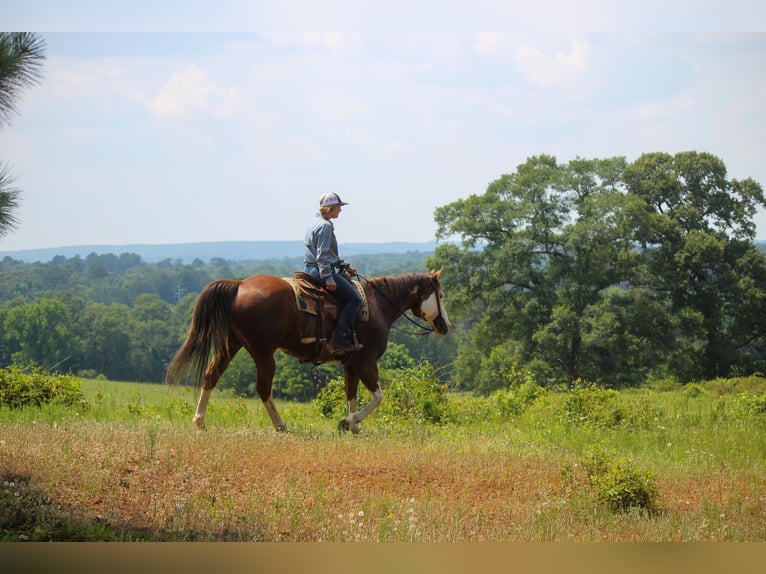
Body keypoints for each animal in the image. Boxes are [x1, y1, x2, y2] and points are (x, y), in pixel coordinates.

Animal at [163, 270, 450, 432]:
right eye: (441, 295)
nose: (445, 325)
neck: (379, 305)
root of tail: (239, 285)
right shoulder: (366, 361)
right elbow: (378, 397)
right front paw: (349, 422)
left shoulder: (351, 364)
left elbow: (352, 395)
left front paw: (352, 425)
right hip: (263, 352)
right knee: (263, 389)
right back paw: (281, 426)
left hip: (230, 346)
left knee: (211, 376)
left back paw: (199, 421)